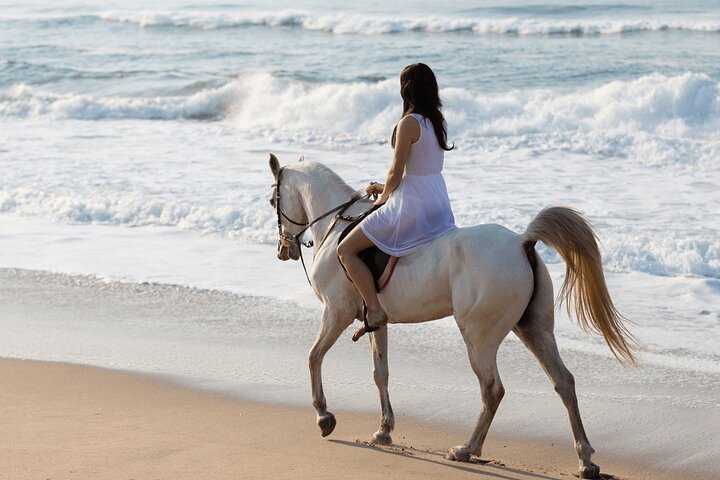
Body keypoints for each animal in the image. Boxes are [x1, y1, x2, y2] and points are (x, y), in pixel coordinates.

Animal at [267, 153, 636, 479]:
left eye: (273, 200)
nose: (284, 250)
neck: (337, 226)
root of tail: (522, 241)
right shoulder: (376, 322)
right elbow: (380, 373)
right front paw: (384, 430)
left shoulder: (336, 313)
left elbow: (313, 357)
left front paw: (324, 416)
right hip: (534, 329)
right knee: (563, 382)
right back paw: (586, 461)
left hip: (478, 336)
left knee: (492, 389)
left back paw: (467, 449)